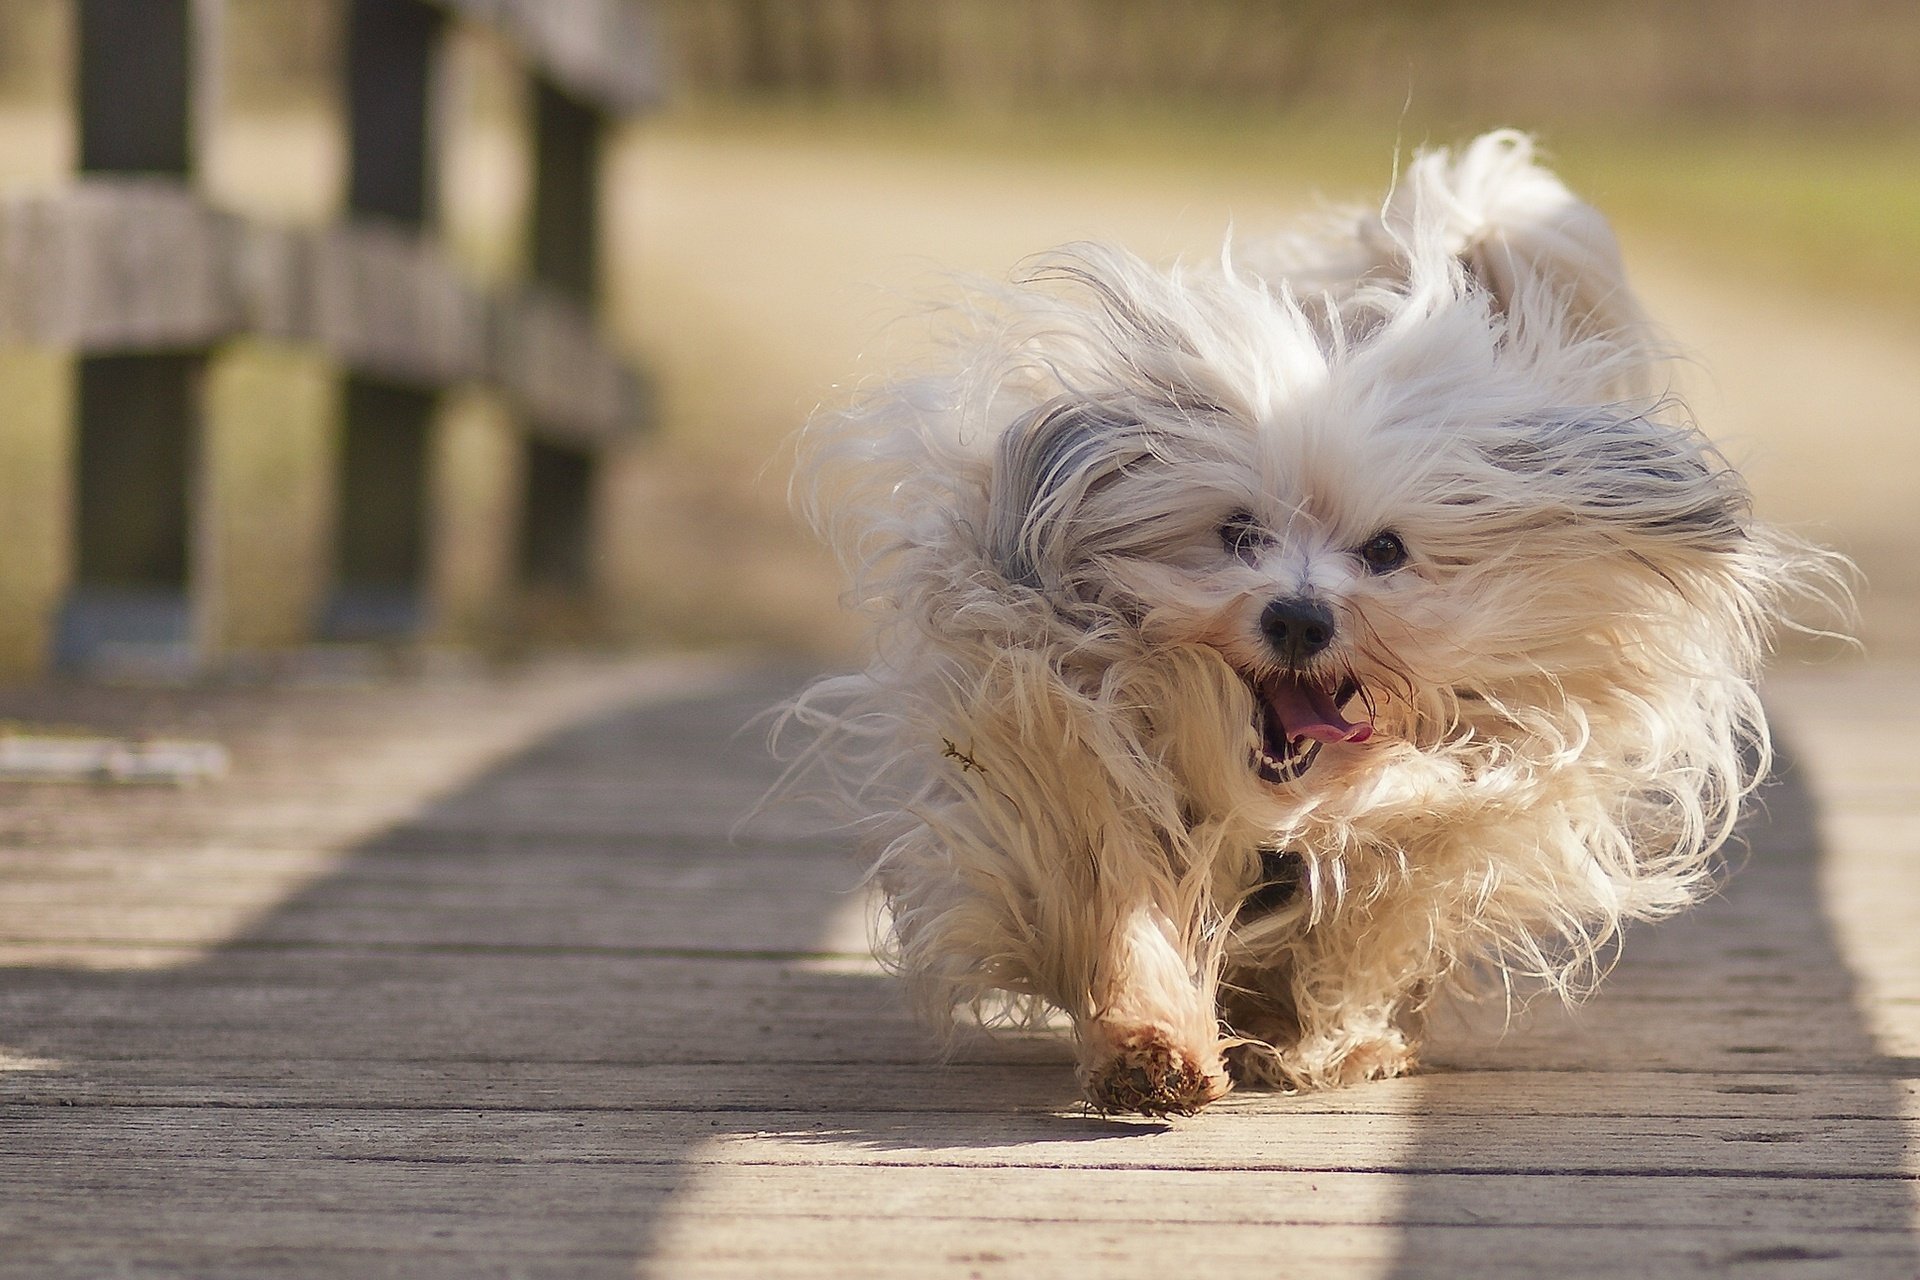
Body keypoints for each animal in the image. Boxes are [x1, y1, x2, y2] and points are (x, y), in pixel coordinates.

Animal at [787, 130, 1835, 1113]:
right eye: (1238, 533)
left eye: (1386, 551)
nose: (1298, 618)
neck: (1275, 797)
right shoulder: (1077, 759)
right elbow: (1125, 905)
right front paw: (1151, 1045)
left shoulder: (1448, 816)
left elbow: (1369, 926)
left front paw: (1336, 1042)